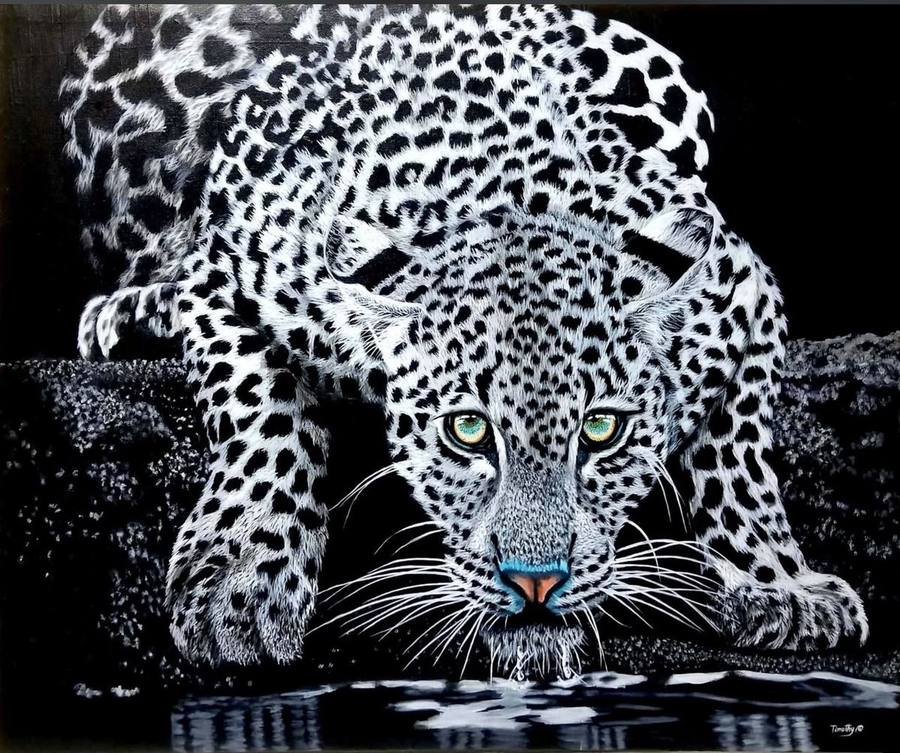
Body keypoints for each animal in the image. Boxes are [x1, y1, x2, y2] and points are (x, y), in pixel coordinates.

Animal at [60, 4, 867, 675]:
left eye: (601, 430)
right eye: (468, 432)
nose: (537, 582)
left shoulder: (744, 281)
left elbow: (740, 449)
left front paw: (779, 582)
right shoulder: (229, 265)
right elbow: (263, 408)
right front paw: (242, 578)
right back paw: (127, 312)